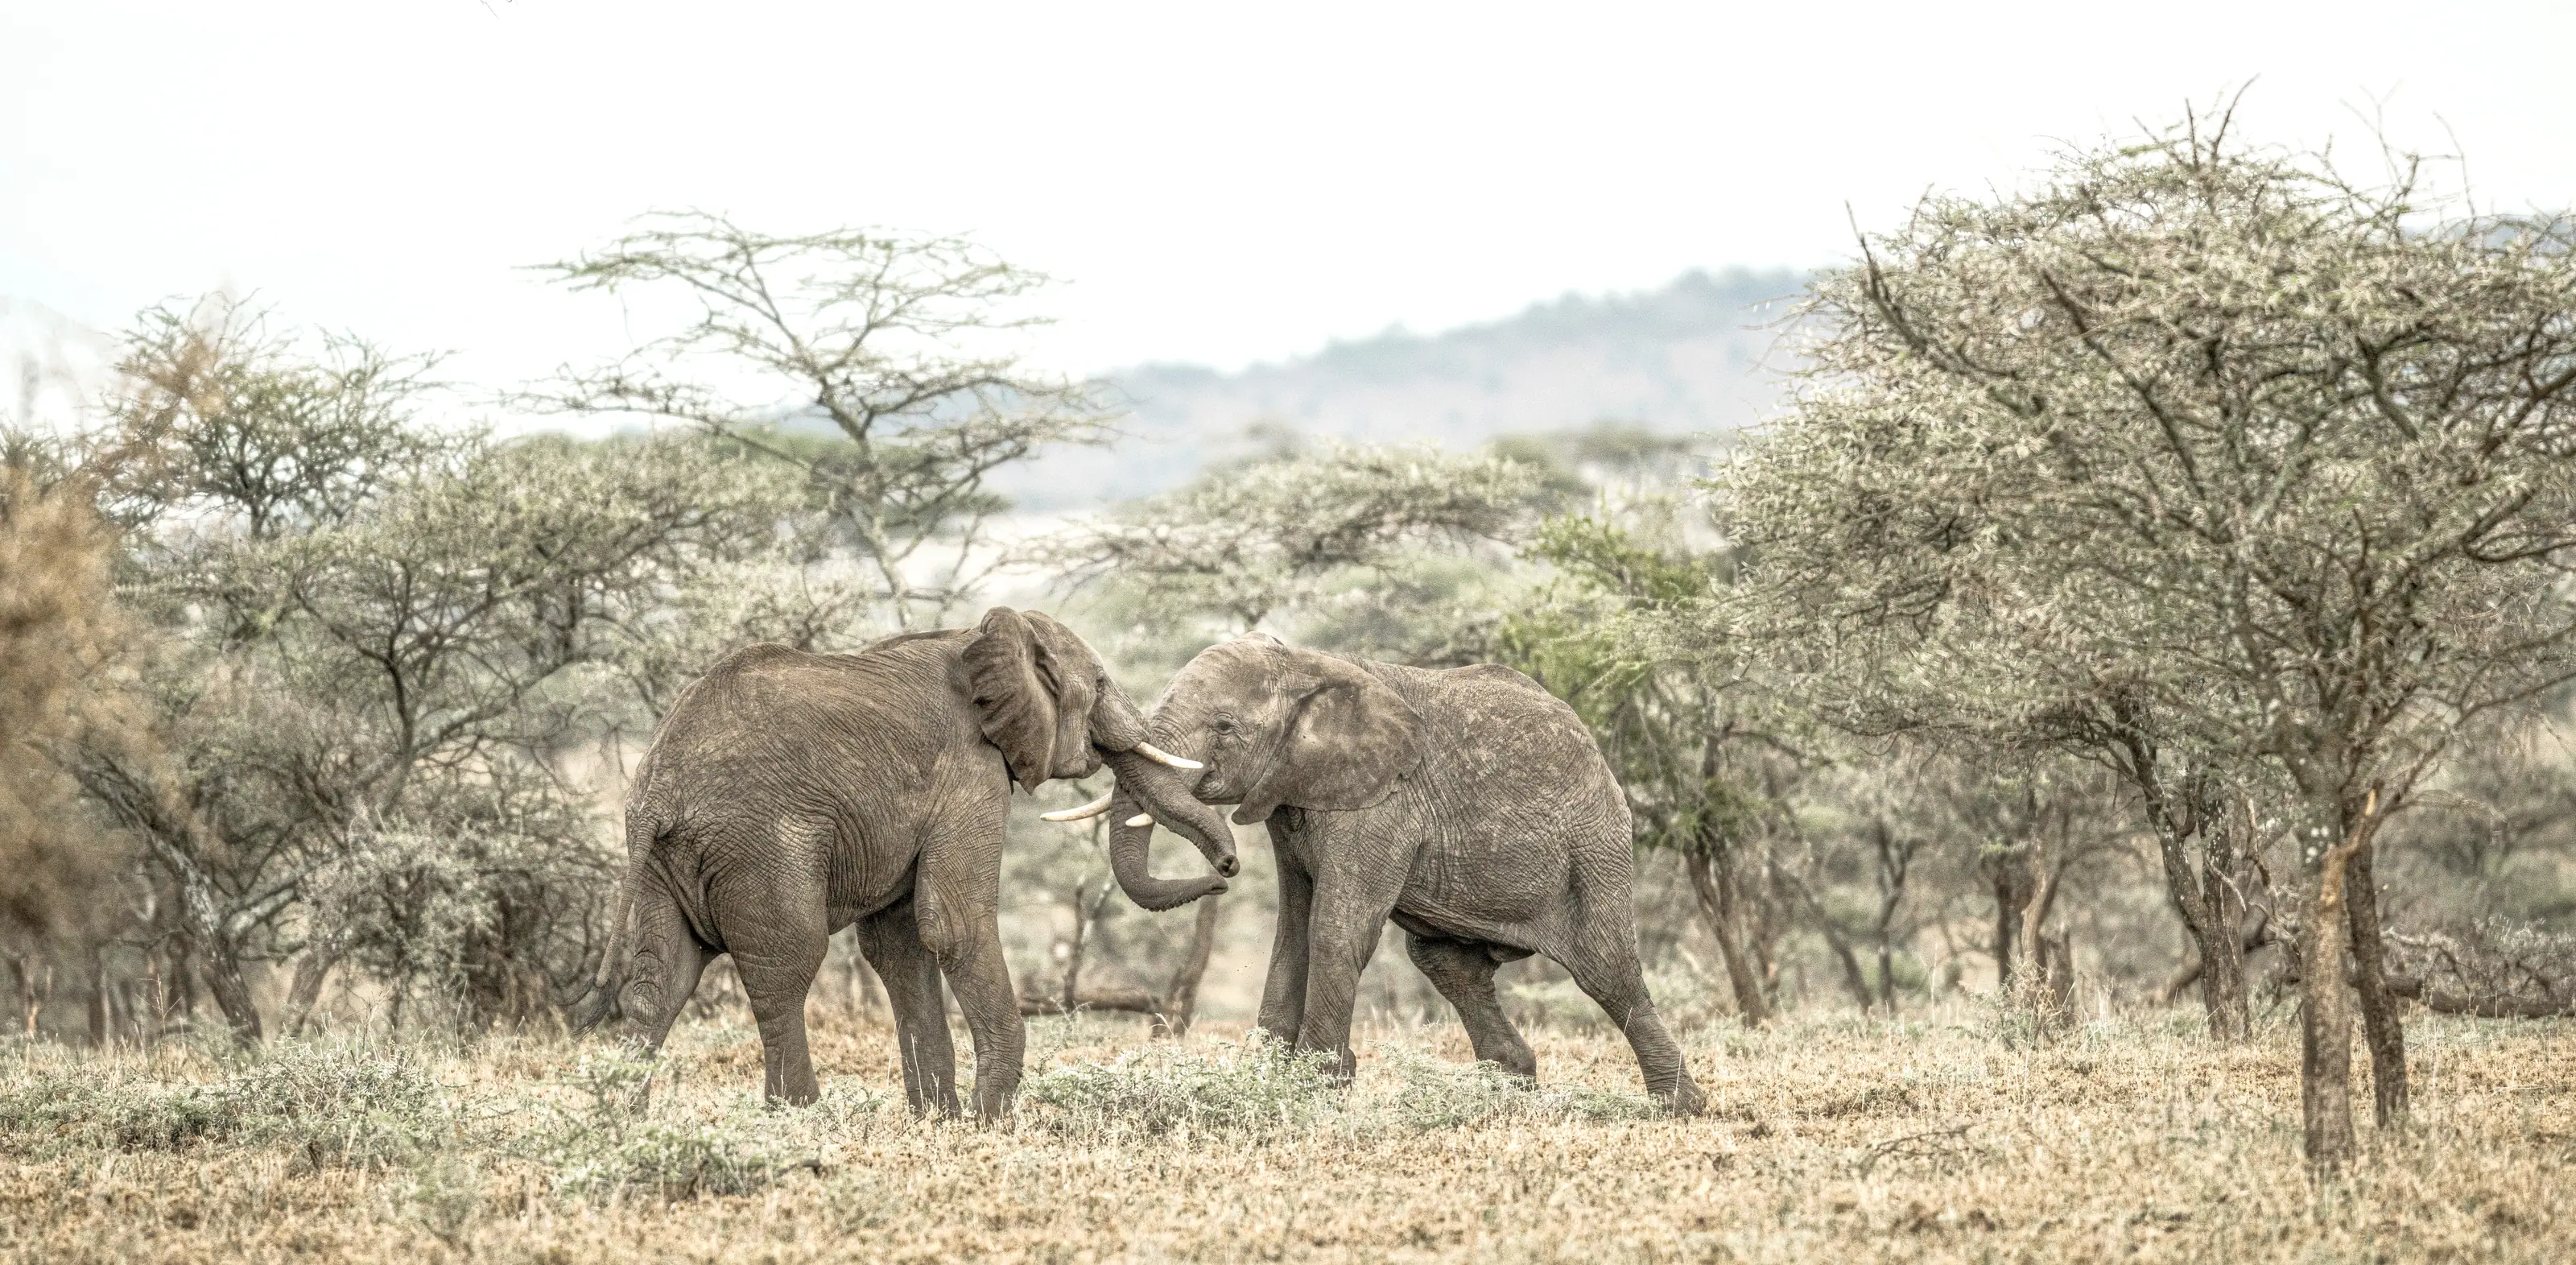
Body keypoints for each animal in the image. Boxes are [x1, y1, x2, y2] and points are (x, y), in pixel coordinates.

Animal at [574, 607, 1240, 1117]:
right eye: (1099, 683)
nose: (1227, 869)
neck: (986, 635)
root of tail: (657, 793)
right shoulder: (969, 773)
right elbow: (955, 924)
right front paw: (988, 1121)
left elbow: (900, 947)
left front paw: (939, 1120)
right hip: (760, 844)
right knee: (786, 967)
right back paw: (800, 1116)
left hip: (664, 860)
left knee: (663, 978)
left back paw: (623, 1118)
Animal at [1106, 632, 1707, 1114]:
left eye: (1224, 725)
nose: (1225, 869)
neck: (1305, 664)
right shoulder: (1291, 798)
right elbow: (1293, 931)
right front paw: (1271, 1080)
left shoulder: (1383, 804)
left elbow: (1334, 929)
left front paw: (1318, 1086)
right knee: (1446, 963)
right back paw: (1509, 1088)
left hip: (1595, 843)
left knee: (1607, 969)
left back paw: (1680, 1107)